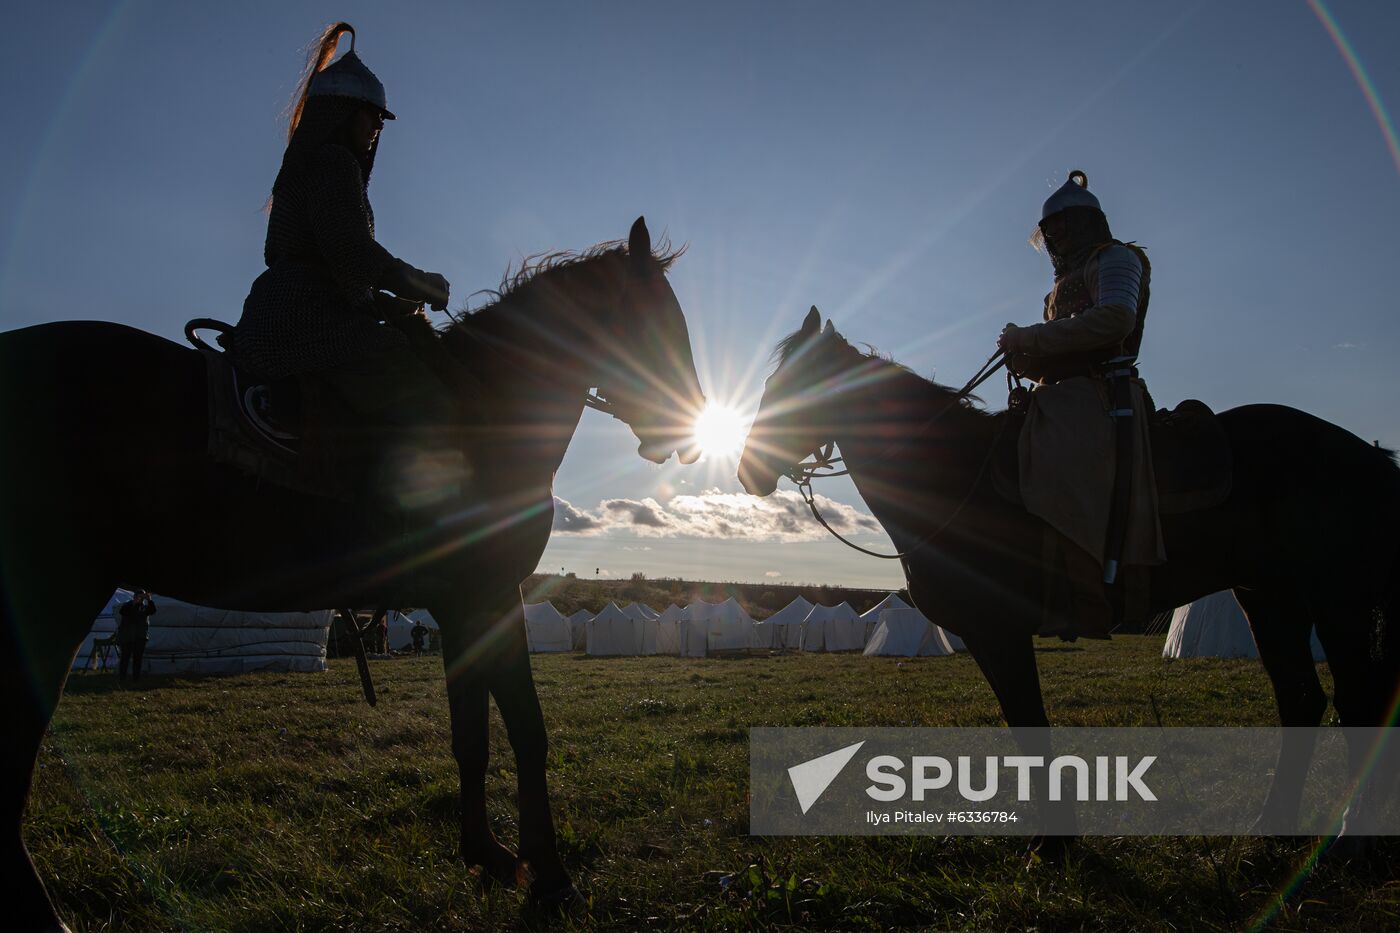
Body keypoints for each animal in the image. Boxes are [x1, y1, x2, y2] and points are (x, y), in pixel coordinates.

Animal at [0, 215, 700, 924]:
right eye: (658, 320)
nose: (684, 430)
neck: (491, 409)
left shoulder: (461, 607)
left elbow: (471, 737)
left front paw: (487, 854)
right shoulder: (488, 595)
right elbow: (528, 731)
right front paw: (553, 878)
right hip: (53, 594)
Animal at [739, 308, 1394, 840]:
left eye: (800, 385)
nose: (749, 471)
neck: (954, 475)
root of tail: (1367, 453)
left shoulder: (1000, 630)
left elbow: (1030, 726)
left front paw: (1055, 842)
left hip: (1335, 602)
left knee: (1359, 703)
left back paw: (1347, 837)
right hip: (1270, 599)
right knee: (1302, 701)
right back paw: (1273, 823)